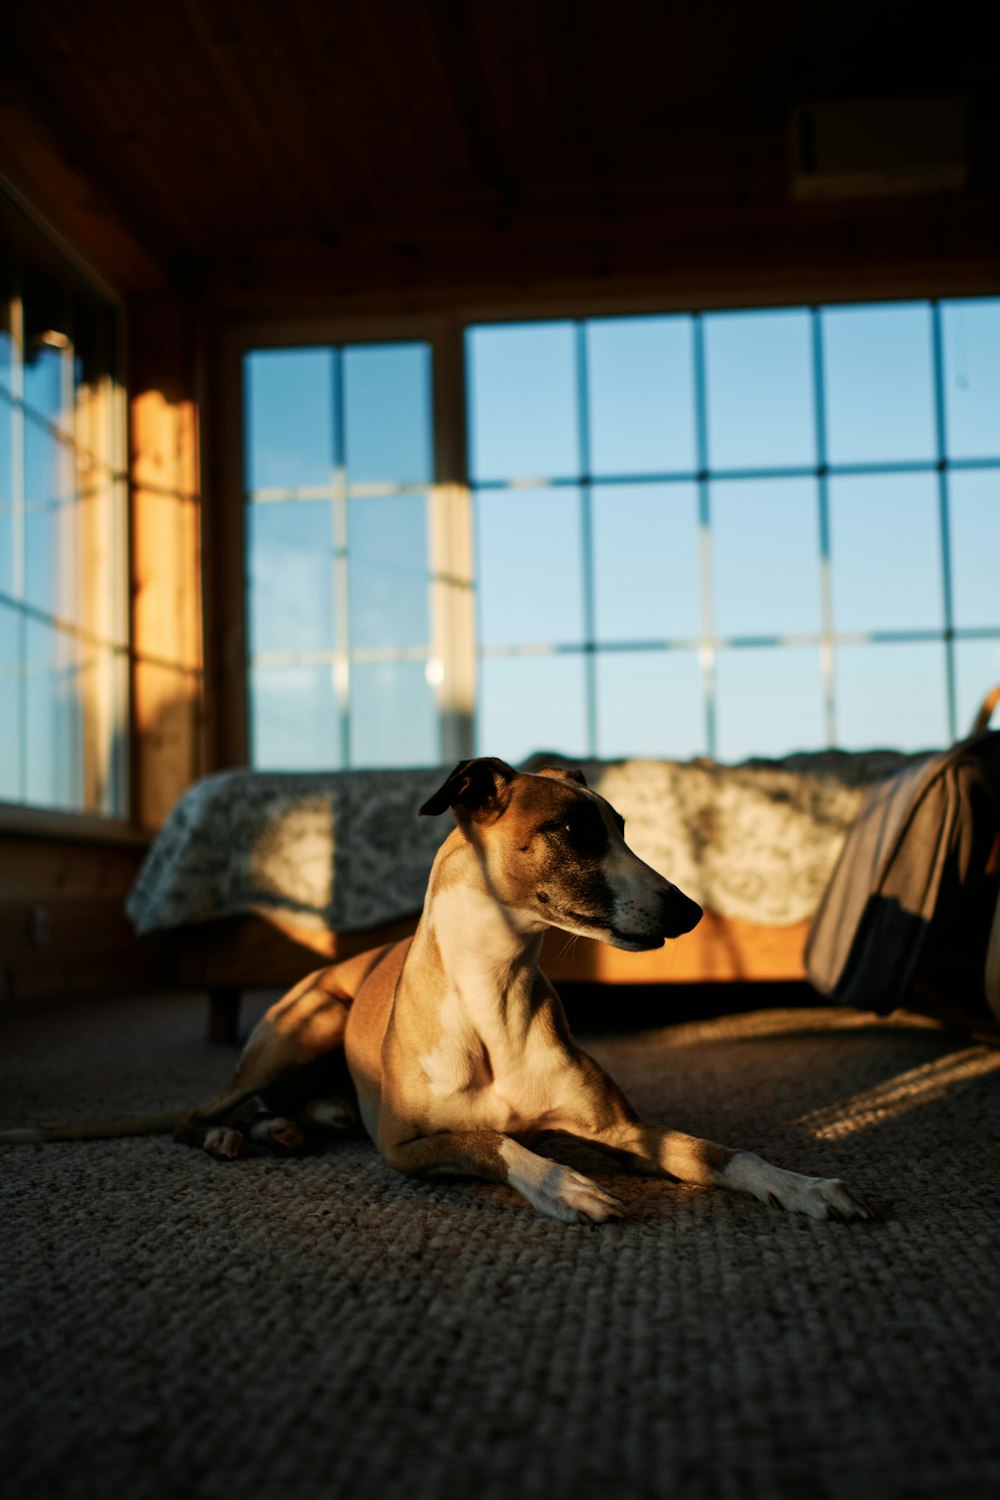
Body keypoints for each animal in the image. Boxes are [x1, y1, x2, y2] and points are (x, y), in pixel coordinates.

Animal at [0, 756, 875, 1224]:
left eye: (623, 827)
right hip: (302, 1027)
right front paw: (565, 1184)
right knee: (197, 1113)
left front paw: (802, 1186)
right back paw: (228, 1136)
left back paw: (282, 1129)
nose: (690, 911)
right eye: (573, 831)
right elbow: (497, 1141)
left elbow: (724, 1152)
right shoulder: (406, 1144)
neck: (495, 993)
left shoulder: (626, 1128)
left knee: (274, 1110)